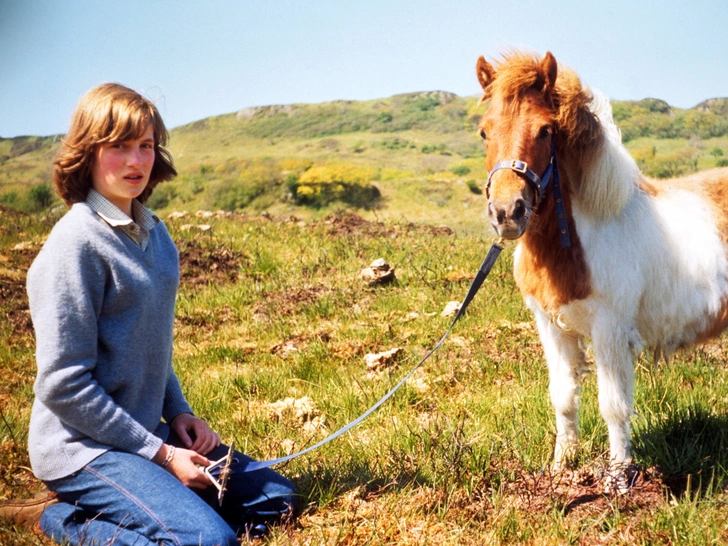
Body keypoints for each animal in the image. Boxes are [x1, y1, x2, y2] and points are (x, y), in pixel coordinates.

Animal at [474, 51, 728, 490]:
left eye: (545, 130)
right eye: (484, 132)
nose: (507, 212)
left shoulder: (609, 330)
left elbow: (613, 404)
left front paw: (619, 476)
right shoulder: (551, 326)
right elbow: (563, 396)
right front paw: (561, 468)